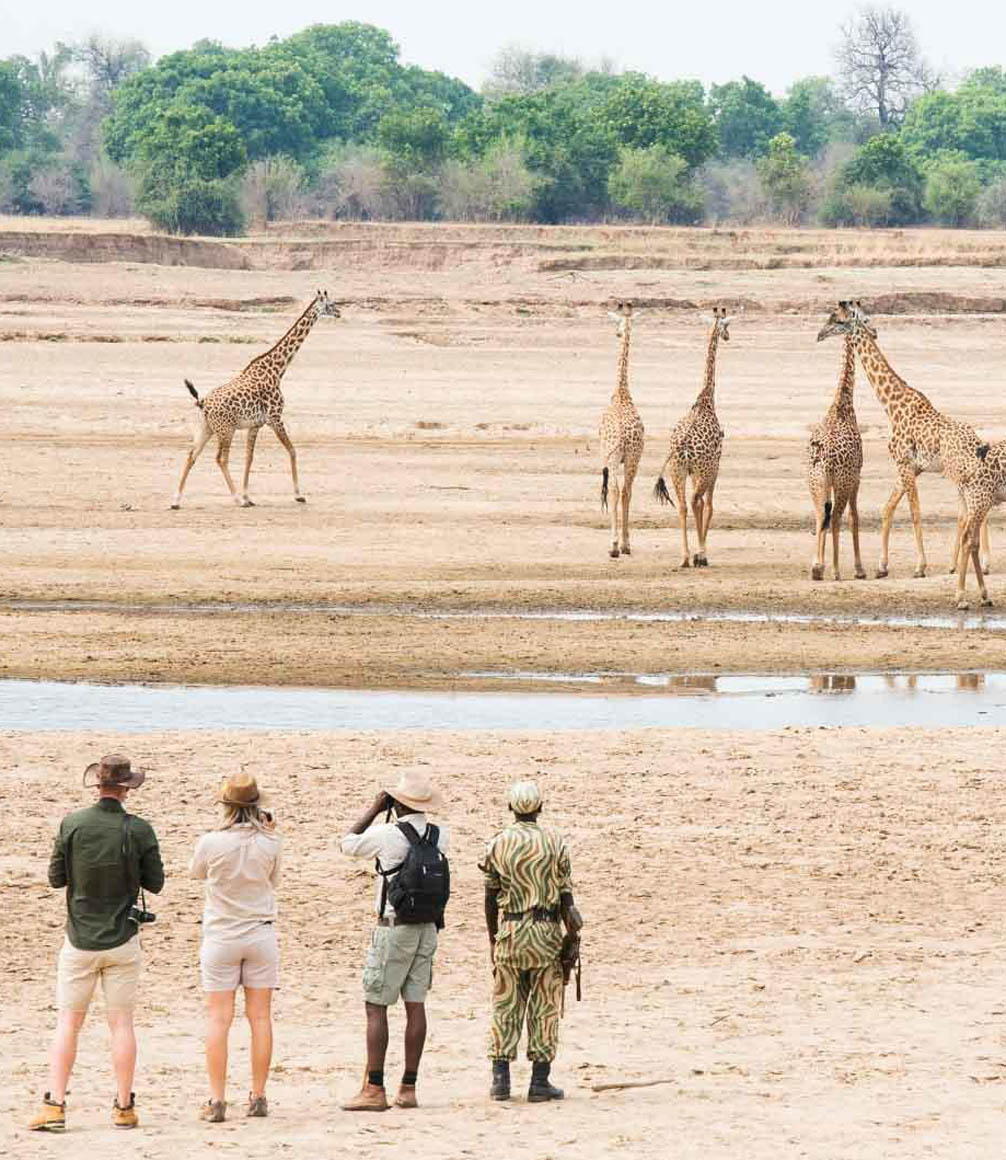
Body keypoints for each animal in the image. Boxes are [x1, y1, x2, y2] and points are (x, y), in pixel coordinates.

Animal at [170, 289, 341, 509]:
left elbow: (249, 458)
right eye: (331, 304)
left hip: (205, 429)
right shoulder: (275, 418)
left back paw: (176, 500)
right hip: (226, 430)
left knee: (191, 456)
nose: (339, 313)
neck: (277, 370)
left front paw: (248, 496)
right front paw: (298, 495)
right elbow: (292, 450)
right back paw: (235, 499)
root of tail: (203, 404)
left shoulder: (255, 425)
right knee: (220, 459)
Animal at [653, 306, 731, 568]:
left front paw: (696, 553)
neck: (706, 398)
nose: (728, 337)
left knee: (683, 506)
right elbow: (710, 506)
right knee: (696, 502)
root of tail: (684, 447)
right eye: (727, 326)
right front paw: (702, 552)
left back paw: (685, 557)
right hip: (701, 471)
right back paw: (698, 555)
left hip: (676, 471)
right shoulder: (715, 467)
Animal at [816, 301, 989, 579]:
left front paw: (920, 567)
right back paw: (968, 564)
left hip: (959, 474)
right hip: (965, 476)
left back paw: (976, 563)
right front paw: (881, 566)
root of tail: (979, 445)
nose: (820, 334)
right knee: (973, 512)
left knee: (971, 512)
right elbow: (888, 508)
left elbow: (914, 512)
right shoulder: (910, 467)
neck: (891, 406)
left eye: (839, 320)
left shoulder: (905, 464)